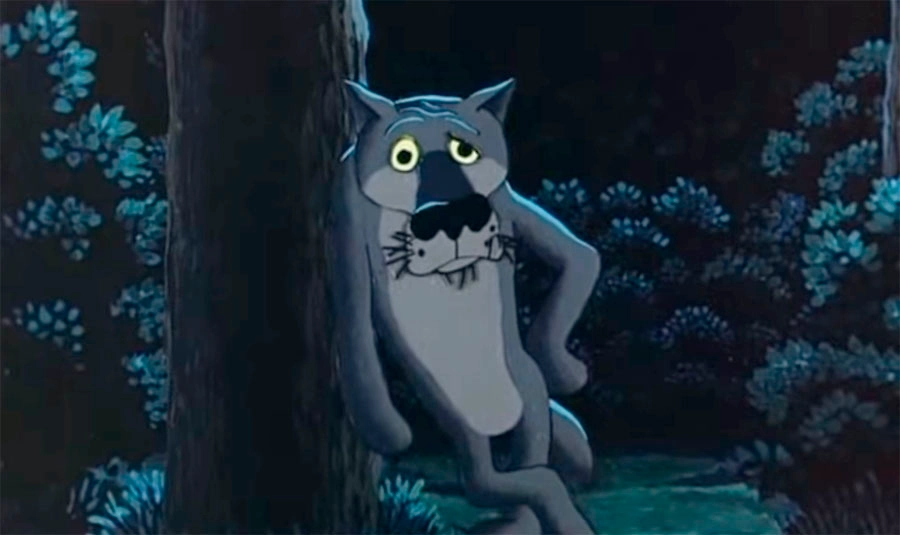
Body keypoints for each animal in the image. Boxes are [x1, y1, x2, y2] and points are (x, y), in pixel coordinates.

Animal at [329, 78, 600, 535]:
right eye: (404, 156)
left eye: (465, 150)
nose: (455, 215)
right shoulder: (347, 216)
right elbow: (354, 332)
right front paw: (390, 431)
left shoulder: (507, 200)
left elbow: (581, 258)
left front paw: (566, 369)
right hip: (462, 424)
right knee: (497, 481)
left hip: (527, 395)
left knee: (536, 460)